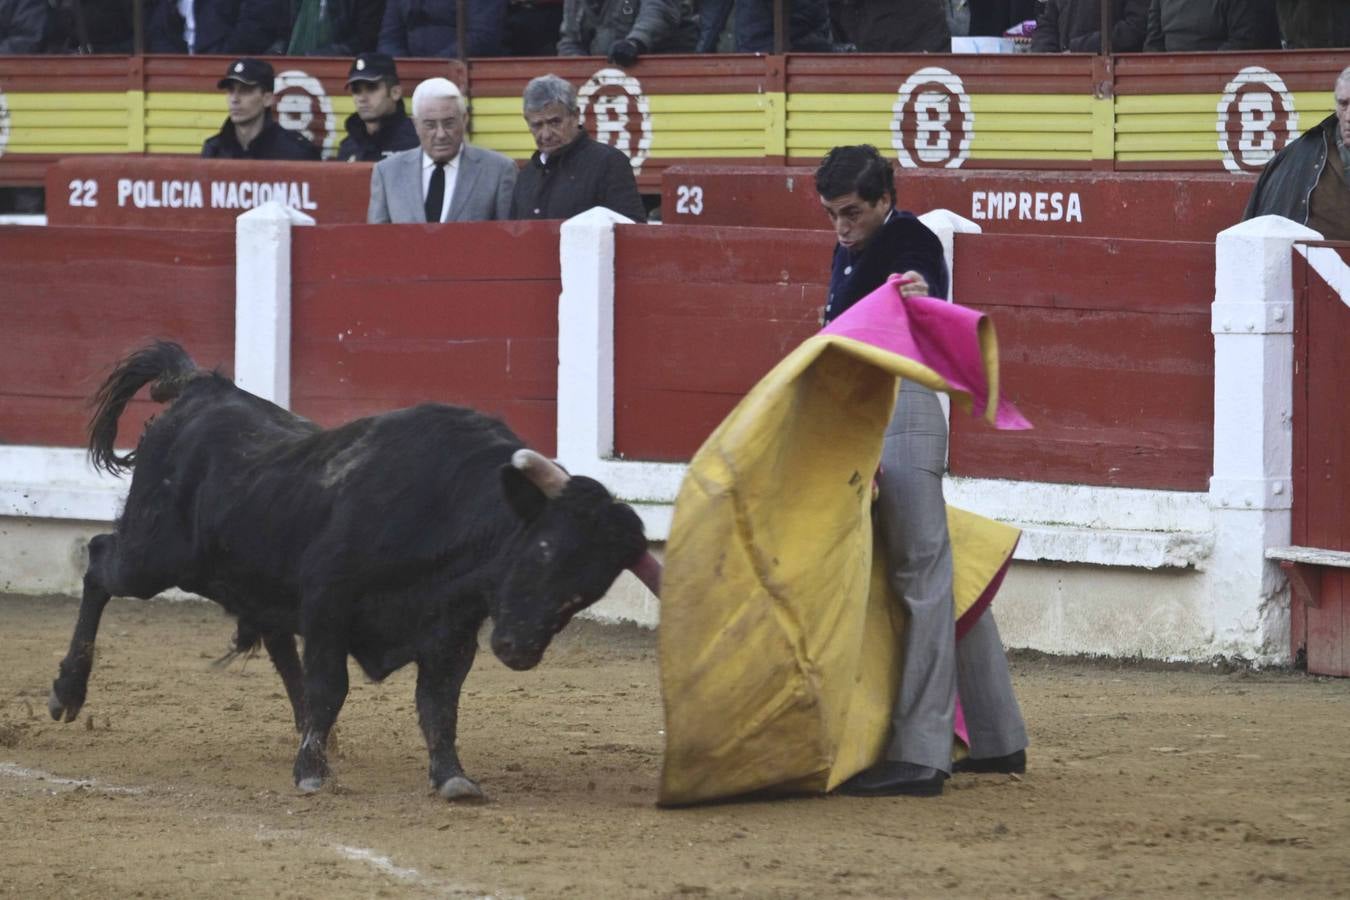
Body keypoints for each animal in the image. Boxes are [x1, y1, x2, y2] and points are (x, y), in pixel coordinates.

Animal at [49, 345, 661, 804]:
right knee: (99, 563)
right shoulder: (328, 604)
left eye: (589, 589)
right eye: (543, 549)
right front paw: (311, 774)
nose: (517, 650)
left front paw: (452, 777)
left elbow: (438, 703)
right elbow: (332, 687)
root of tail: (200, 385)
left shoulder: (450, 632)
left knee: (275, 638)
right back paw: (65, 694)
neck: (448, 510)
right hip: (151, 557)